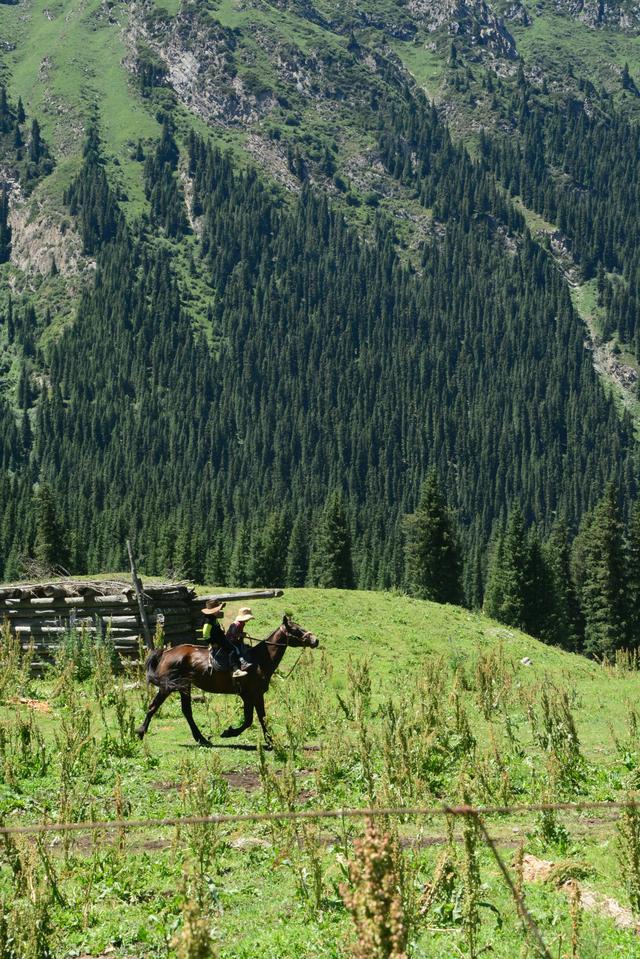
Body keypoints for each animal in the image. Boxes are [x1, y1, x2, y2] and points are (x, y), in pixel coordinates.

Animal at [136, 615, 318, 748]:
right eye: (295, 629)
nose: (315, 640)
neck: (258, 660)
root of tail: (166, 653)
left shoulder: (250, 696)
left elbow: (254, 719)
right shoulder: (253, 694)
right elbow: (255, 719)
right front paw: (233, 733)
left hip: (184, 687)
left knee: (186, 712)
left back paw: (201, 739)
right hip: (167, 688)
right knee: (153, 707)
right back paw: (140, 732)